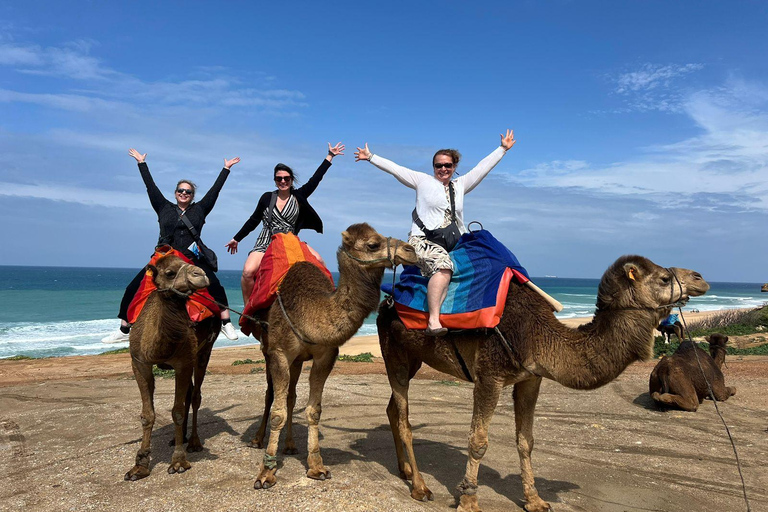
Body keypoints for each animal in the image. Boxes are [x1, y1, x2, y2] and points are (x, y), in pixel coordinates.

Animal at [123, 255, 219, 480]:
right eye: (169, 273)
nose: (201, 274)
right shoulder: (139, 362)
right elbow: (147, 414)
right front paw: (140, 464)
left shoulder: (183, 362)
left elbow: (178, 411)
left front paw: (178, 461)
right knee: (189, 394)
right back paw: (179, 438)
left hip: (204, 352)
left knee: (195, 396)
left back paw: (193, 442)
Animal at [252, 223, 416, 488]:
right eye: (373, 244)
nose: (411, 250)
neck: (310, 310)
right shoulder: (279, 353)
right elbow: (277, 412)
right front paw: (266, 473)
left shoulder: (326, 355)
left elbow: (313, 410)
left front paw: (316, 466)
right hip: (268, 349)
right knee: (270, 395)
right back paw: (257, 439)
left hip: (297, 362)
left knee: (291, 396)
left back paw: (290, 445)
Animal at [374, 255, 708, 512]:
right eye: (664, 278)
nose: (700, 278)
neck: (537, 334)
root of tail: (386, 301)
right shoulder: (489, 376)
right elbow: (478, 441)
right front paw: (468, 501)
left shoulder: (530, 379)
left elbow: (526, 441)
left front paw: (534, 501)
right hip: (394, 352)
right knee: (403, 416)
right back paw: (420, 487)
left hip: (414, 358)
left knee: (392, 408)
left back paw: (405, 470)